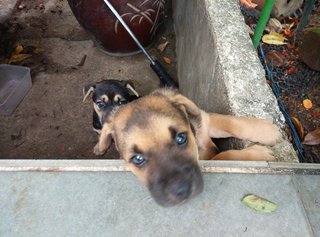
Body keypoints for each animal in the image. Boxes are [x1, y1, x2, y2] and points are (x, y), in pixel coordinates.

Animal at [94, 88, 282, 206]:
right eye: (138, 159)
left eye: (181, 138)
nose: (181, 191)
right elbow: (222, 155)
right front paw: (260, 154)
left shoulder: (205, 120)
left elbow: (233, 122)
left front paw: (267, 131)